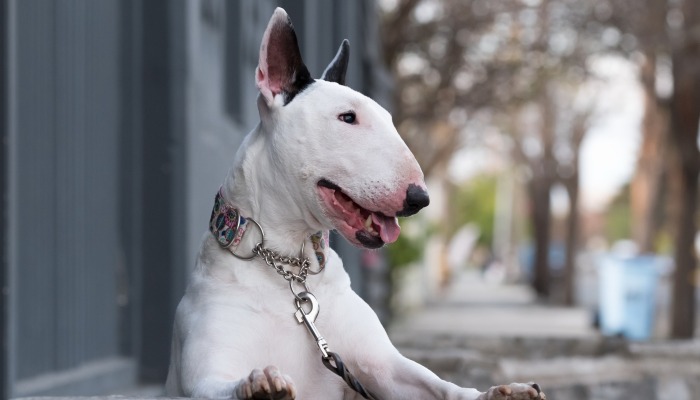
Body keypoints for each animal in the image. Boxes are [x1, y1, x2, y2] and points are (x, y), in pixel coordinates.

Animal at [165, 8, 548, 400]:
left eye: (388, 120)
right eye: (347, 117)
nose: (420, 198)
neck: (286, 266)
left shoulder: (383, 367)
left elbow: (441, 385)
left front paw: (499, 391)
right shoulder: (204, 377)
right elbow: (224, 385)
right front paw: (259, 385)